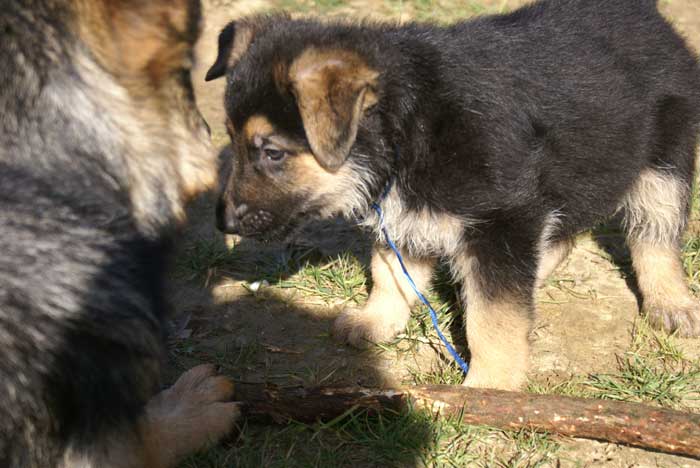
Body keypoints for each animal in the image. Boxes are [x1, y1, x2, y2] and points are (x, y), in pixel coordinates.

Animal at [208, 0, 700, 390]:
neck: (407, 126)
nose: (223, 224)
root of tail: (648, 16)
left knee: (655, 237)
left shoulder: (503, 217)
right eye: (230, 140)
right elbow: (391, 274)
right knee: (566, 229)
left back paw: (671, 304)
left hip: (663, 164)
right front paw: (376, 321)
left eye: (272, 153)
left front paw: (490, 387)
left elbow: (494, 317)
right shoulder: (403, 215)